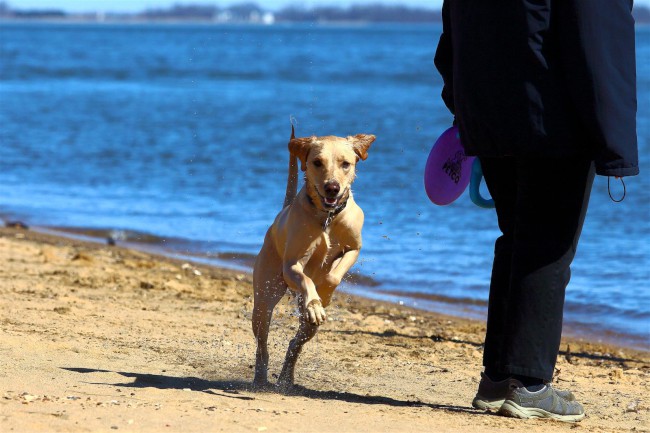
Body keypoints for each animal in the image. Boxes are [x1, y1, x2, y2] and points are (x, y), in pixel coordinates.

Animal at [253, 126, 374, 390]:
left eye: (345, 164)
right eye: (317, 162)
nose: (332, 188)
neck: (327, 217)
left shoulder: (354, 248)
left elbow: (332, 276)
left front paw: (323, 295)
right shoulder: (291, 265)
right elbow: (305, 278)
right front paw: (315, 300)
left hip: (304, 327)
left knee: (296, 342)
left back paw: (286, 378)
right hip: (264, 296)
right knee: (262, 343)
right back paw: (261, 377)